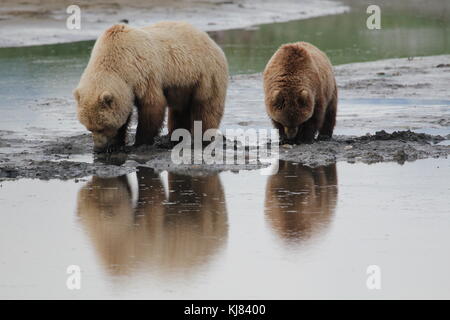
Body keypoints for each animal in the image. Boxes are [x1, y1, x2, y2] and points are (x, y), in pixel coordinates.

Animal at [74, 21, 229, 152]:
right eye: (89, 128)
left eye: (102, 127)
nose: (98, 148)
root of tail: (212, 42)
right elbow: (125, 112)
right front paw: (116, 144)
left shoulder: (145, 74)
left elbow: (152, 105)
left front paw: (139, 143)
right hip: (183, 84)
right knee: (179, 111)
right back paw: (174, 139)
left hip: (205, 75)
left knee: (206, 107)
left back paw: (200, 140)